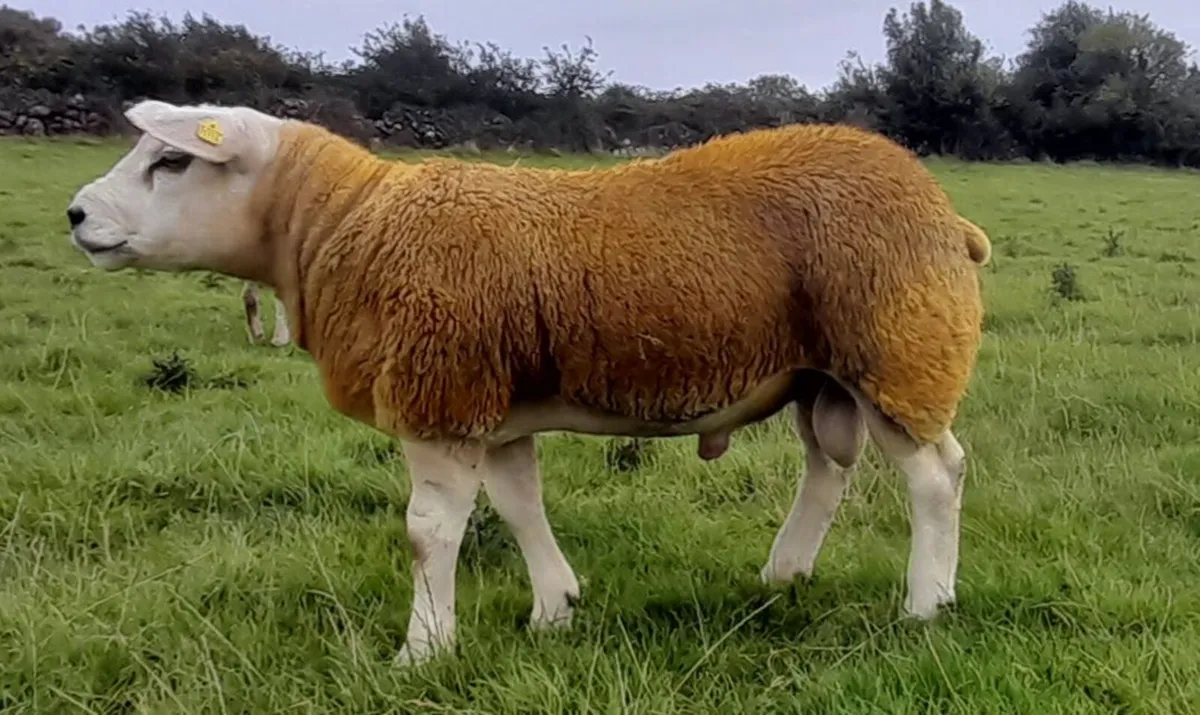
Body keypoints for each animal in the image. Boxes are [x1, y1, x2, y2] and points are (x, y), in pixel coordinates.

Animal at [65, 99, 992, 666]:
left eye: (172, 163)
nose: (74, 215)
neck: (340, 229)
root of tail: (946, 212)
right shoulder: (493, 407)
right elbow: (518, 505)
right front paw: (554, 608)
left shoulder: (438, 398)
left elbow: (427, 532)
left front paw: (422, 650)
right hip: (822, 372)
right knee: (827, 471)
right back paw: (784, 574)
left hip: (898, 350)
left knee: (935, 476)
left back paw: (927, 603)